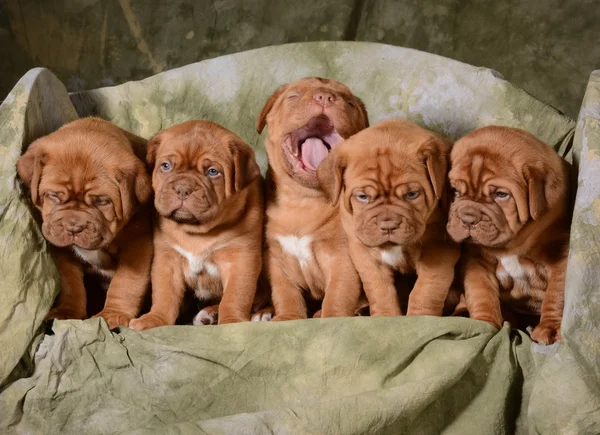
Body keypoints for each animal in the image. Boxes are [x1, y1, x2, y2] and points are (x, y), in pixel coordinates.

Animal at [16, 117, 154, 328]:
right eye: (54, 195)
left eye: (101, 201)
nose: (74, 227)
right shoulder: (62, 251)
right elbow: (70, 282)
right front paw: (67, 312)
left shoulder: (138, 246)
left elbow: (126, 281)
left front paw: (113, 314)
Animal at [130, 119, 264, 330]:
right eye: (166, 166)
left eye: (213, 172)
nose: (183, 188)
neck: (196, 232)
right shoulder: (167, 261)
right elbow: (164, 295)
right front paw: (156, 319)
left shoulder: (241, 260)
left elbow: (234, 297)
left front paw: (232, 322)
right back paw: (210, 314)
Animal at [258, 76, 370, 320]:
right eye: (293, 96)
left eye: (349, 103)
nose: (325, 97)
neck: (304, 200)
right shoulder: (275, 258)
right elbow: (285, 293)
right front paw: (288, 316)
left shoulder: (341, 259)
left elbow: (338, 295)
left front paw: (330, 317)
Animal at [318, 119, 460, 316]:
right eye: (363, 196)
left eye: (412, 194)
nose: (388, 226)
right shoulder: (364, 253)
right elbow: (380, 291)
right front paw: (387, 316)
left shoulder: (439, 248)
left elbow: (426, 289)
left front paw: (421, 315)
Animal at [446, 126, 572, 344]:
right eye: (454, 190)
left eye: (501, 194)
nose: (468, 218)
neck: (512, 245)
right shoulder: (476, 262)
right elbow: (481, 294)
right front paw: (483, 324)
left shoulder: (560, 256)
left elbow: (556, 294)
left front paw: (550, 328)